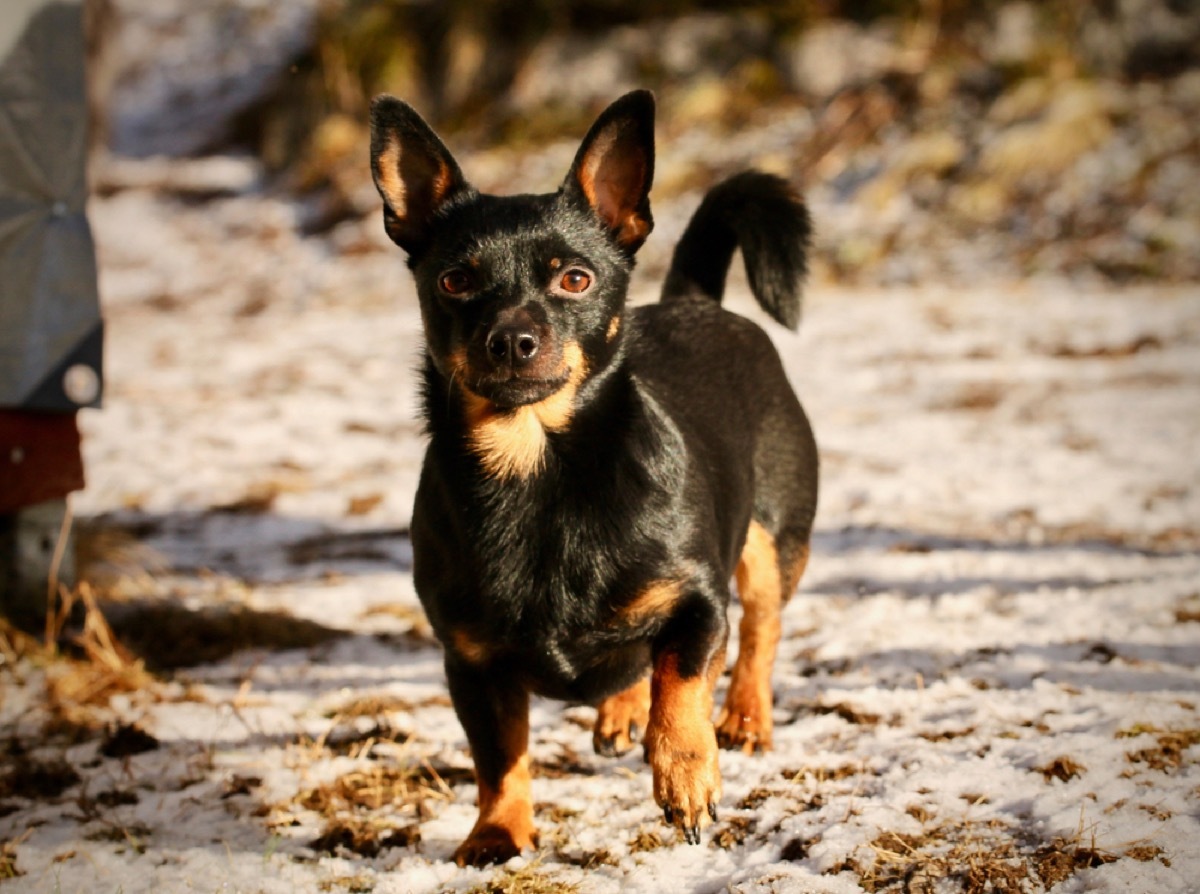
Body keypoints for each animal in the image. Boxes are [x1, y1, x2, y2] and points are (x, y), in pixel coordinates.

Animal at [364, 90, 816, 864]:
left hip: (772, 539)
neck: (538, 470)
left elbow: (681, 680)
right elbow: (499, 756)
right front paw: (498, 832)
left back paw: (744, 719)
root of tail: (697, 302)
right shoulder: (471, 663)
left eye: (574, 278)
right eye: (455, 280)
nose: (512, 340)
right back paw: (622, 710)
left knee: (760, 629)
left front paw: (685, 773)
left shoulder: (698, 605)